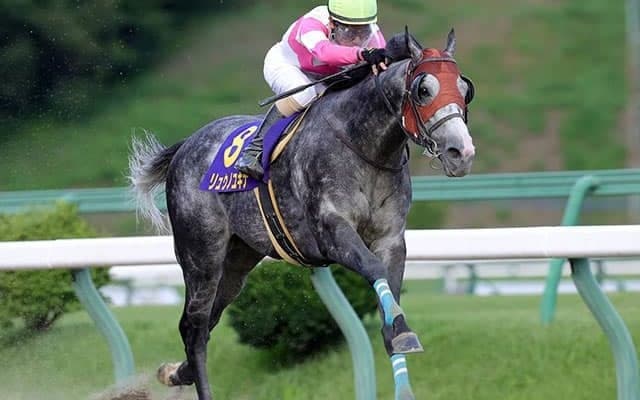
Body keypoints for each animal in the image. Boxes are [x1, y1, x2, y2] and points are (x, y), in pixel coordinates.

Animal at [128, 29, 475, 400]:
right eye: (424, 89)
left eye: (465, 89)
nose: (461, 152)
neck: (363, 146)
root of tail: (186, 145)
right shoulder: (331, 231)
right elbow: (373, 267)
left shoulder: (391, 238)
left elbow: (390, 294)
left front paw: (400, 336)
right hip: (201, 256)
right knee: (193, 327)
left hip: (237, 260)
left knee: (207, 322)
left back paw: (174, 372)